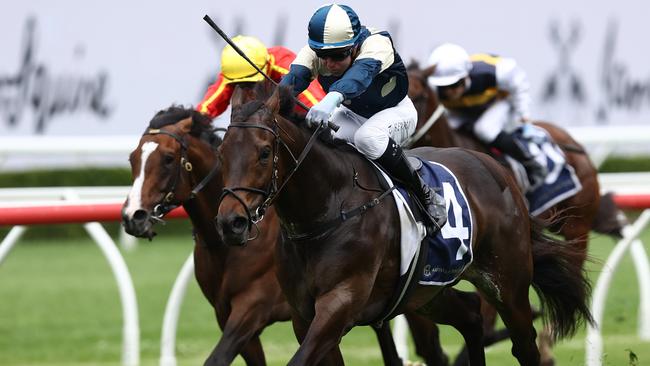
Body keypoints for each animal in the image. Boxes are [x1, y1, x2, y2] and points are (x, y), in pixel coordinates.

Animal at [215, 85, 588, 366]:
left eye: (264, 153)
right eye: (222, 152)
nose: (231, 222)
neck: (329, 209)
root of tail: (497, 169)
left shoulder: (340, 303)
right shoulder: (302, 315)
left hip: (507, 284)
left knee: (524, 345)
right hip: (425, 291)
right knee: (470, 316)